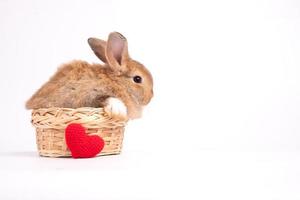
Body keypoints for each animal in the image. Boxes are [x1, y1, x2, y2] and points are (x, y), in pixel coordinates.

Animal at [24, 31, 154, 119]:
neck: (118, 82)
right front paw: (118, 111)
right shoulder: (89, 95)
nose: (149, 99)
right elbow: (108, 98)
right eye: (137, 79)